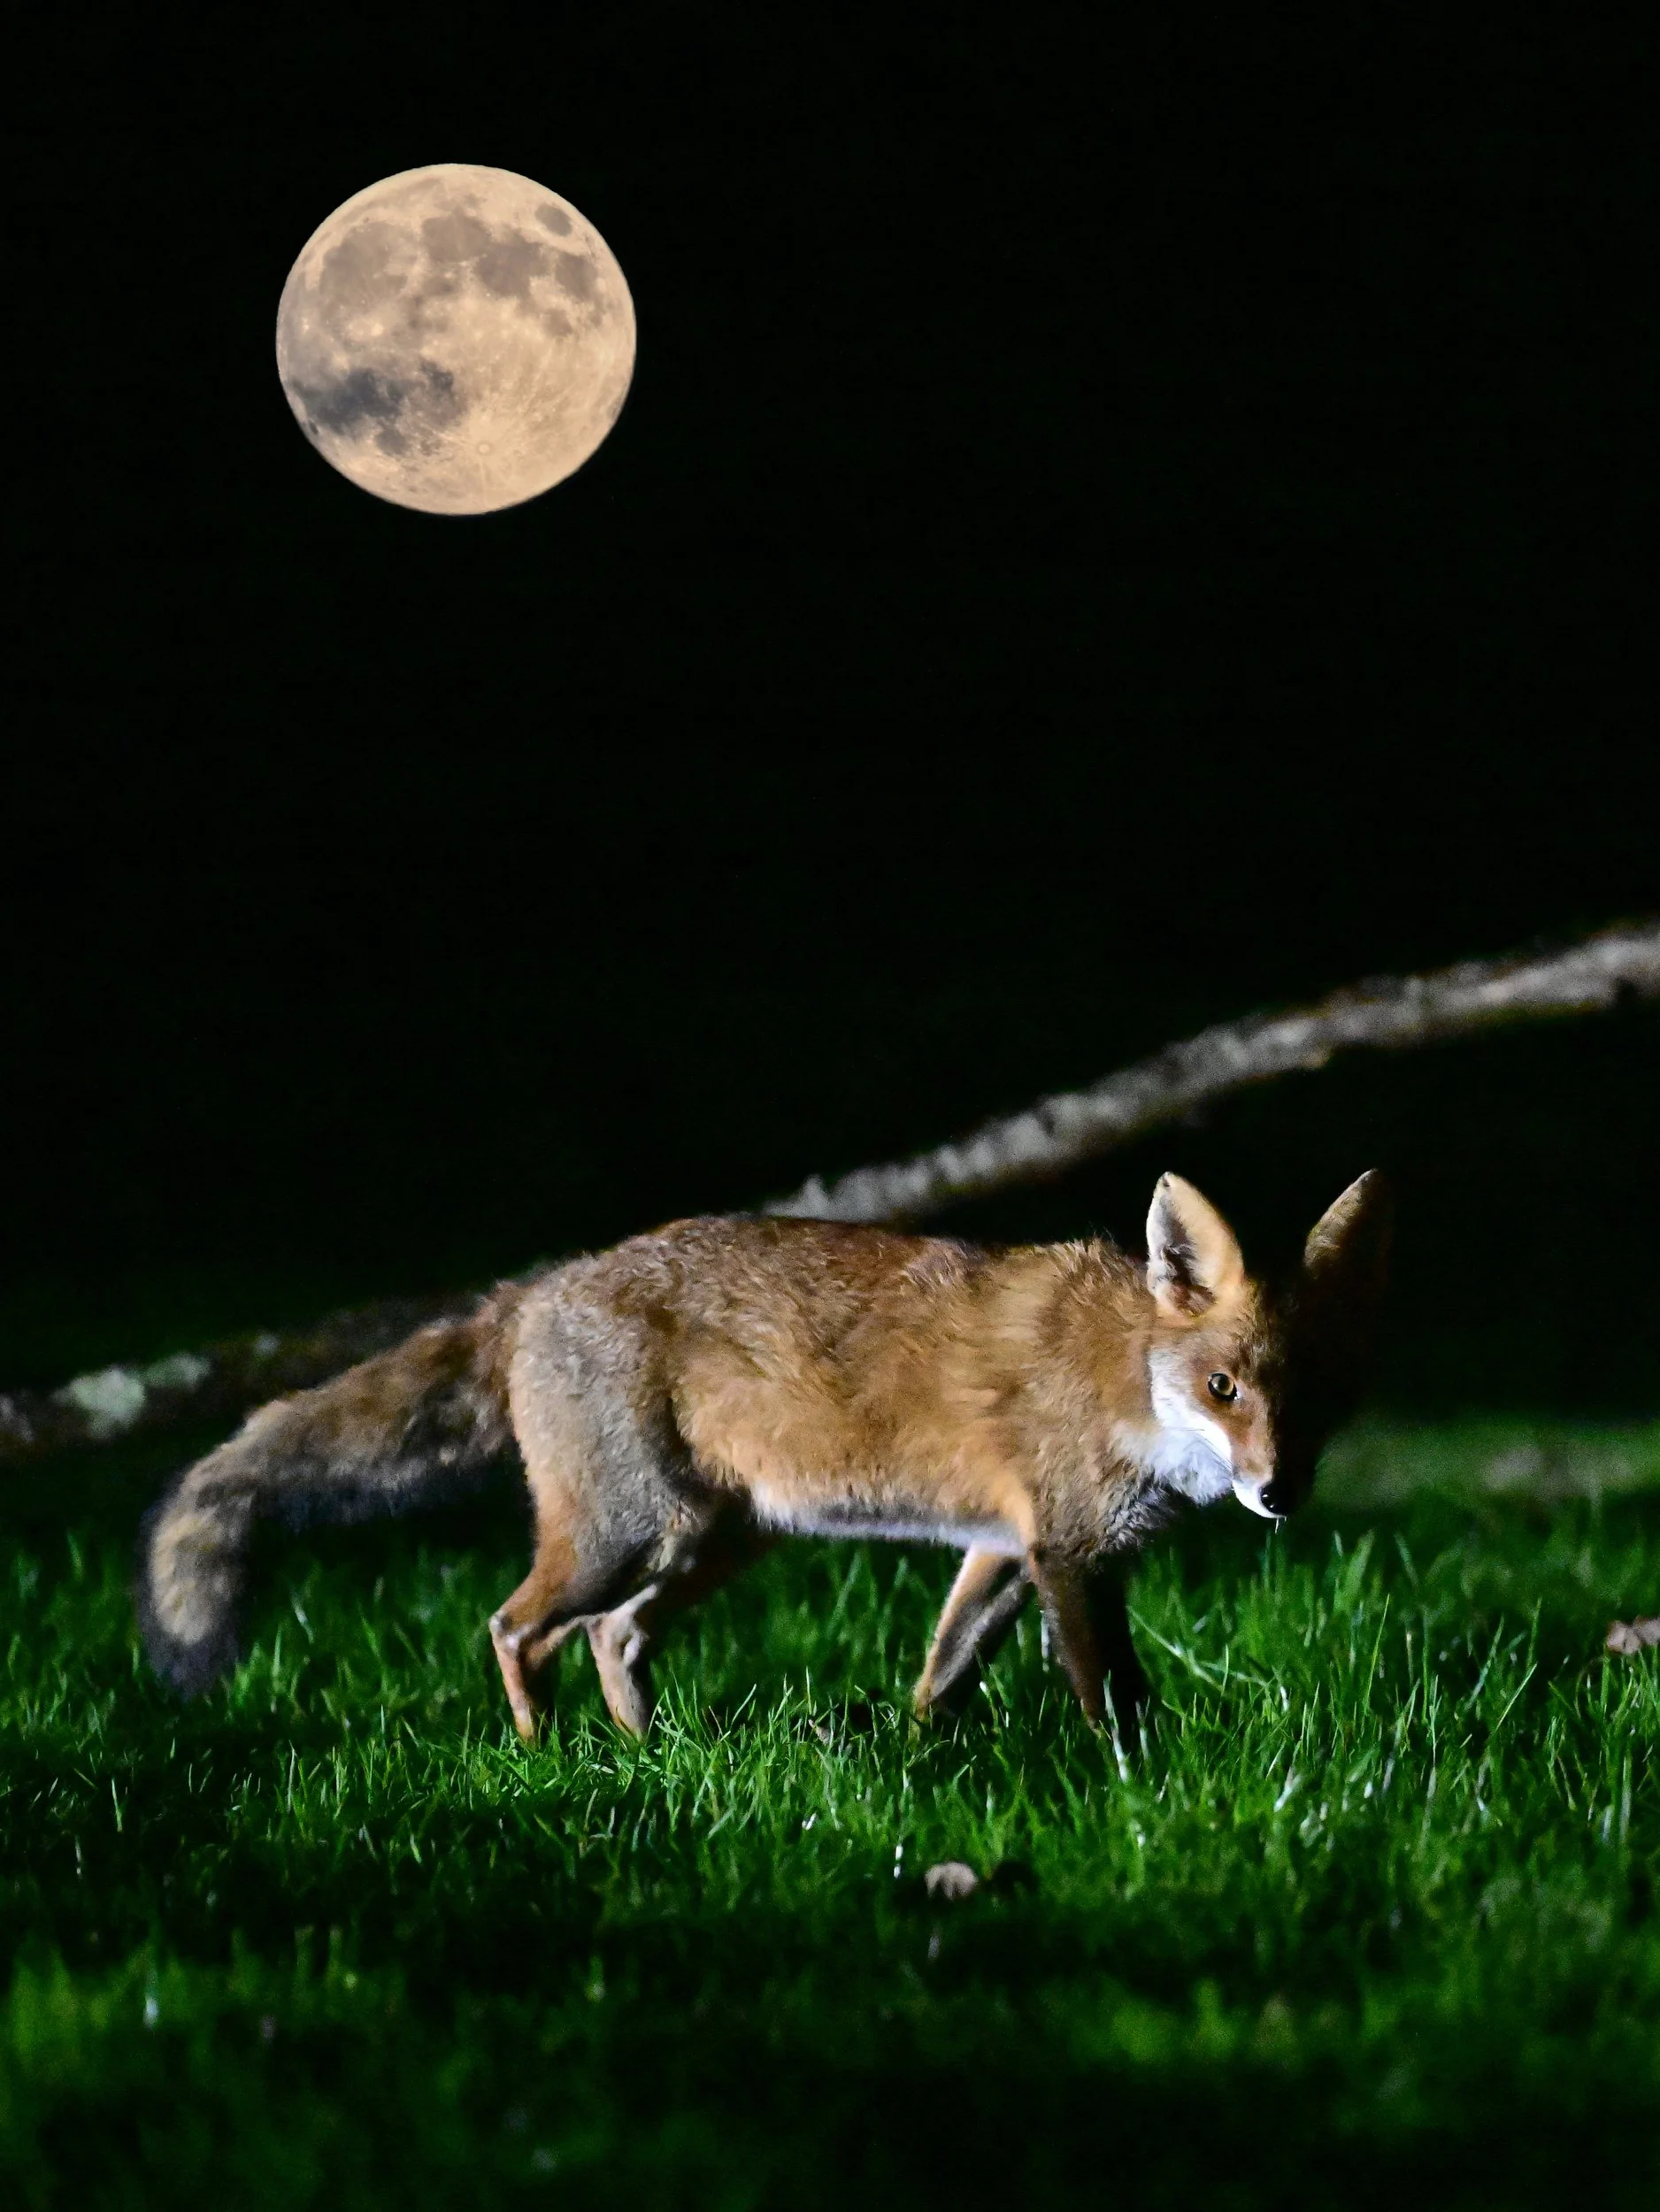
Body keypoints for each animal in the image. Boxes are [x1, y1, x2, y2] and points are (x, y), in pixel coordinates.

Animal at [138, 1170, 1391, 1740]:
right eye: (1224, 1389)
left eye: (1320, 1397)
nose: (1278, 1491)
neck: (1125, 1377)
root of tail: (535, 1287)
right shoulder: (1071, 1555)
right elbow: (1112, 1698)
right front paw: (1122, 1784)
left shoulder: (1005, 1548)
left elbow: (940, 1677)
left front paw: (923, 1760)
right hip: (625, 1532)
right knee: (515, 1627)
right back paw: (543, 1758)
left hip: (713, 1541)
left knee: (611, 1635)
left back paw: (645, 1757)